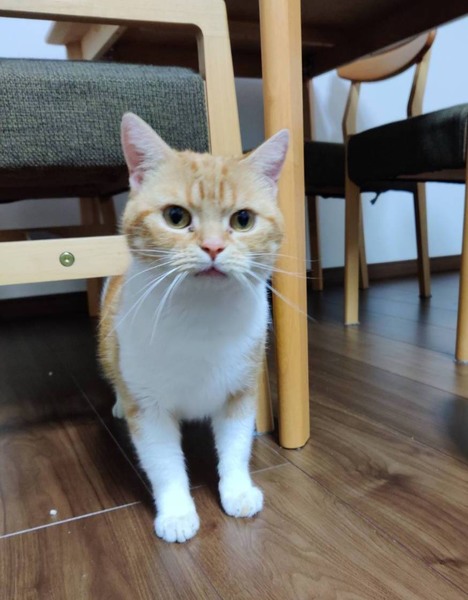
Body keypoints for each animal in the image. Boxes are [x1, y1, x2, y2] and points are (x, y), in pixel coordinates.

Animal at [99, 112, 288, 543]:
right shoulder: (148, 409)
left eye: (243, 220)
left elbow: (235, 449)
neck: (201, 318)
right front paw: (176, 513)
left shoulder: (240, 392)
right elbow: (164, 463)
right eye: (176, 217)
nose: (214, 247)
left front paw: (237, 492)